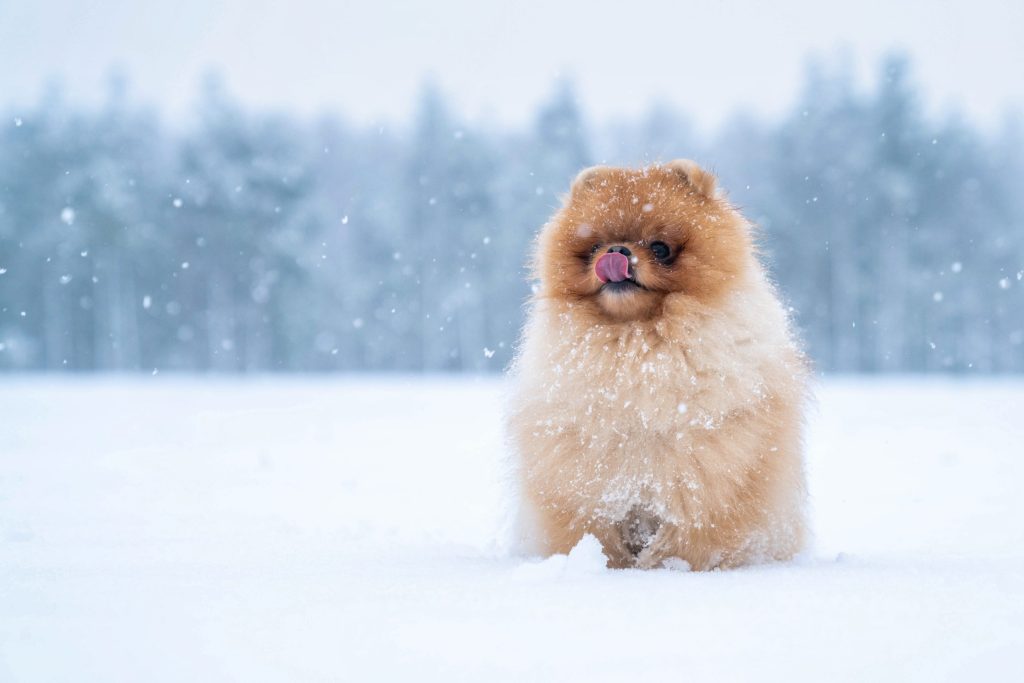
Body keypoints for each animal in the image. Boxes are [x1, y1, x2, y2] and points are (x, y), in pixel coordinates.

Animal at [507, 160, 811, 573]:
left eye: (660, 248)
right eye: (593, 248)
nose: (615, 252)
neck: (638, 345)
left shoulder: (713, 473)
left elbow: (691, 538)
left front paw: (665, 570)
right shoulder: (579, 477)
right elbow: (592, 533)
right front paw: (607, 566)